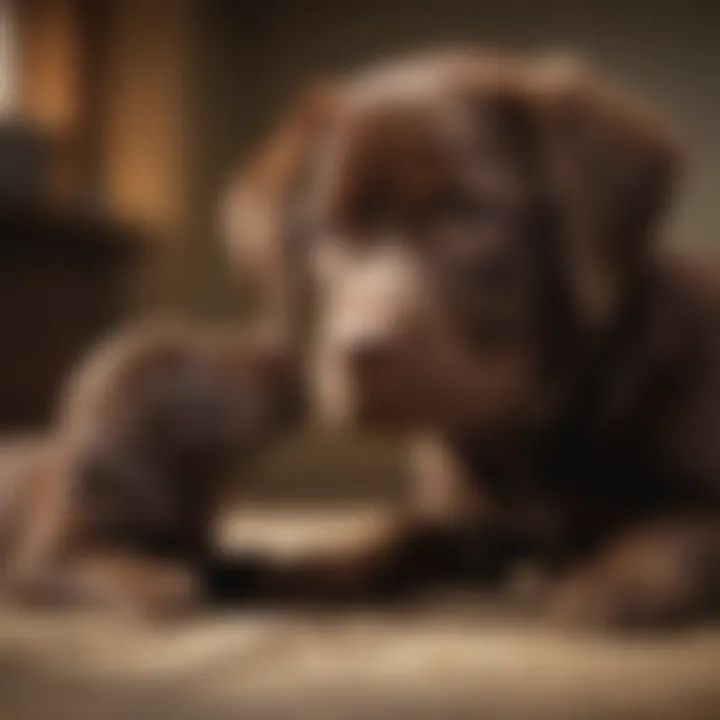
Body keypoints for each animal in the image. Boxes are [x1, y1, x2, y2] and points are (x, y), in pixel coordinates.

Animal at [0, 322, 300, 620]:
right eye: (184, 366)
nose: (278, 348)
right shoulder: (45, 560)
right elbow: (114, 563)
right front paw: (166, 584)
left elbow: (212, 558)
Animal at [228, 49, 720, 632]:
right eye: (331, 234)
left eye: (469, 215)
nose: (361, 350)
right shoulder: (464, 520)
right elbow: (396, 531)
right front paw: (305, 570)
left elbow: (685, 527)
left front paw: (618, 582)